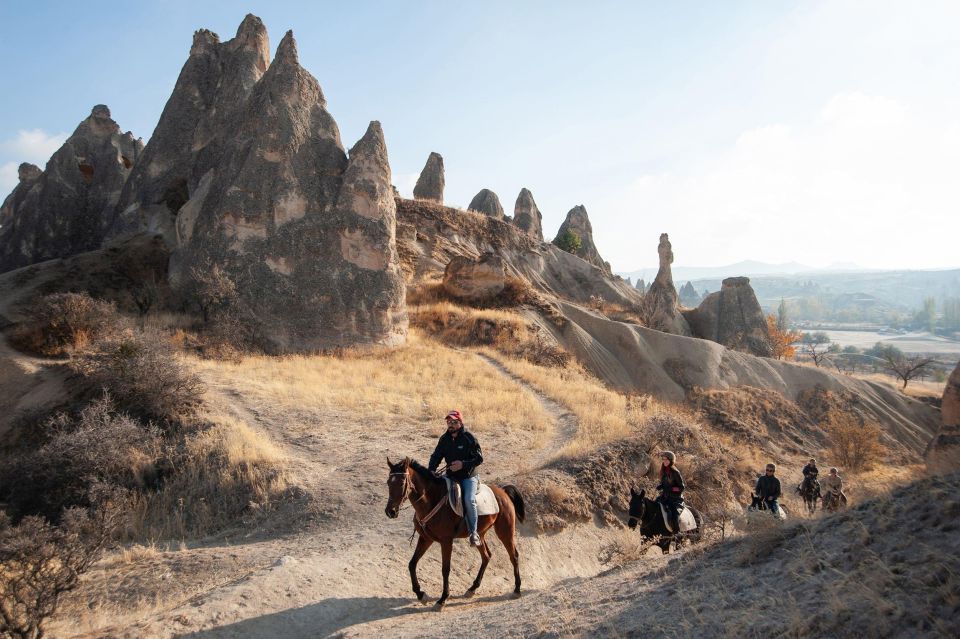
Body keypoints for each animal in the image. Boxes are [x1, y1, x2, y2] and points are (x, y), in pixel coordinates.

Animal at [384, 456, 524, 608]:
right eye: (388, 483)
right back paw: (472, 588)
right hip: (480, 534)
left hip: (505, 531)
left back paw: (517, 589)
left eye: (402, 482)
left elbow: (445, 569)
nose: (390, 511)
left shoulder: (446, 541)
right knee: (486, 556)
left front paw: (442, 599)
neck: (432, 500)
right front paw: (421, 594)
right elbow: (412, 564)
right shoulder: (425, 538)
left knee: (514, 556)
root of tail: (503, 491)